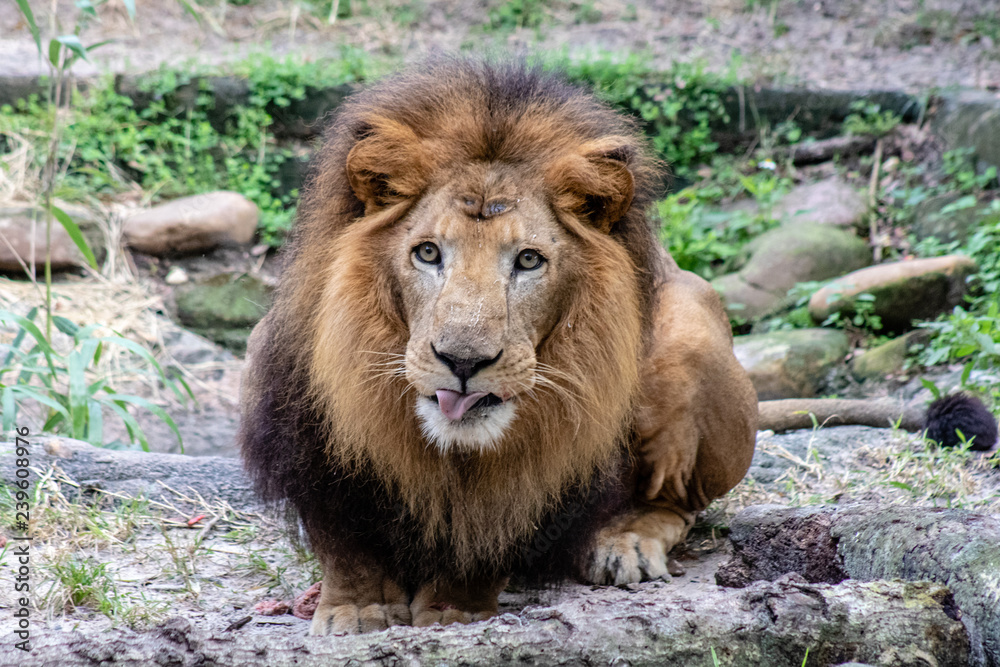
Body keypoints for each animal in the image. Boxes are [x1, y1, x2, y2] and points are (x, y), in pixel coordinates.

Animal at [239, 60, 758, 636]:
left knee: (677, 503)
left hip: (691, 333)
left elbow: (487, 533)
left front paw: (453, 612)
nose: (463, 361)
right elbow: (346, 543)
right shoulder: (312, 446)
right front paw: (356, 610)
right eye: (427, 253)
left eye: (529, 260)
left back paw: (625, 544)